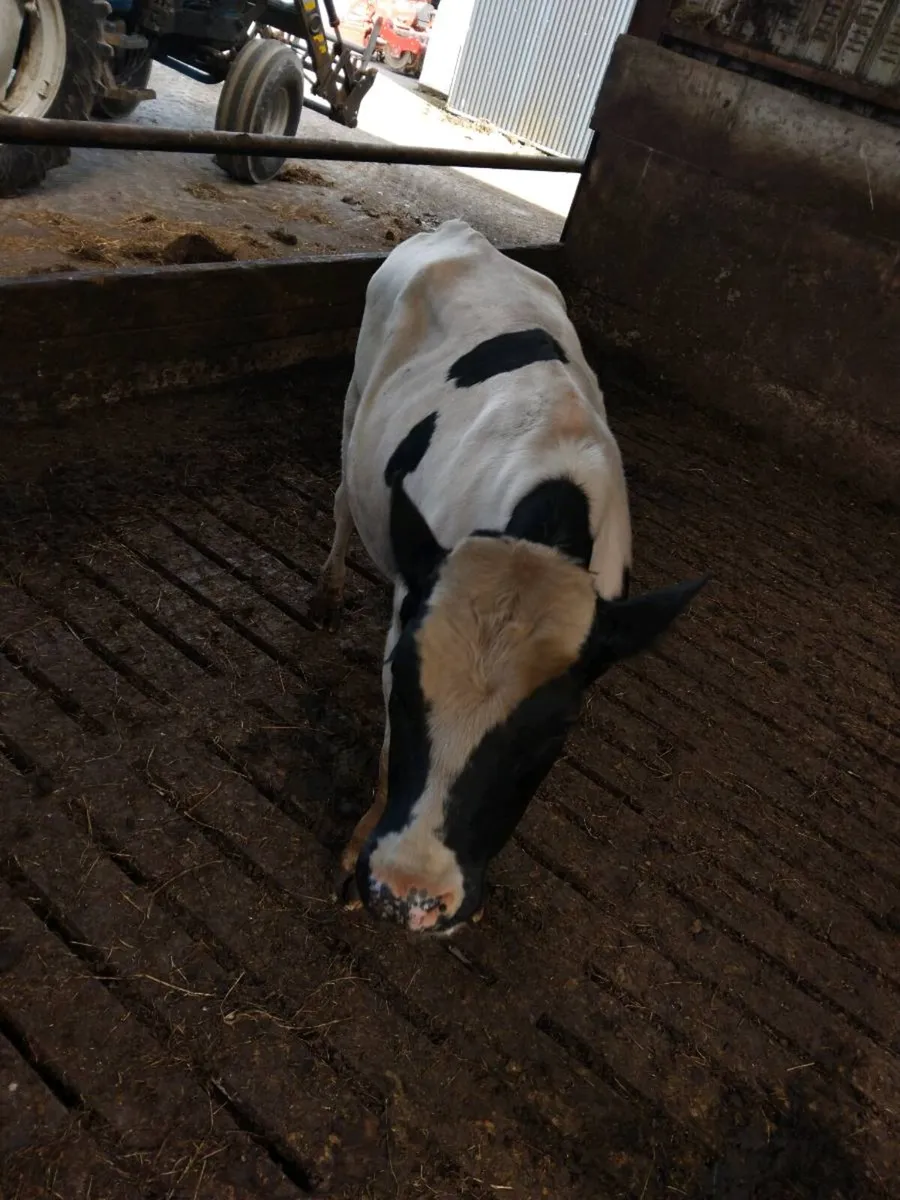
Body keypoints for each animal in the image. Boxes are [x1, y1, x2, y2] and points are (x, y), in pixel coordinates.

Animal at [311, 218, 705, 936]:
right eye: (399, 690)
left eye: (551, 733)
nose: (410, 895)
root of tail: (463, 231)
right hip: (356, 397)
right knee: (343, 501)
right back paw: (327, 592)